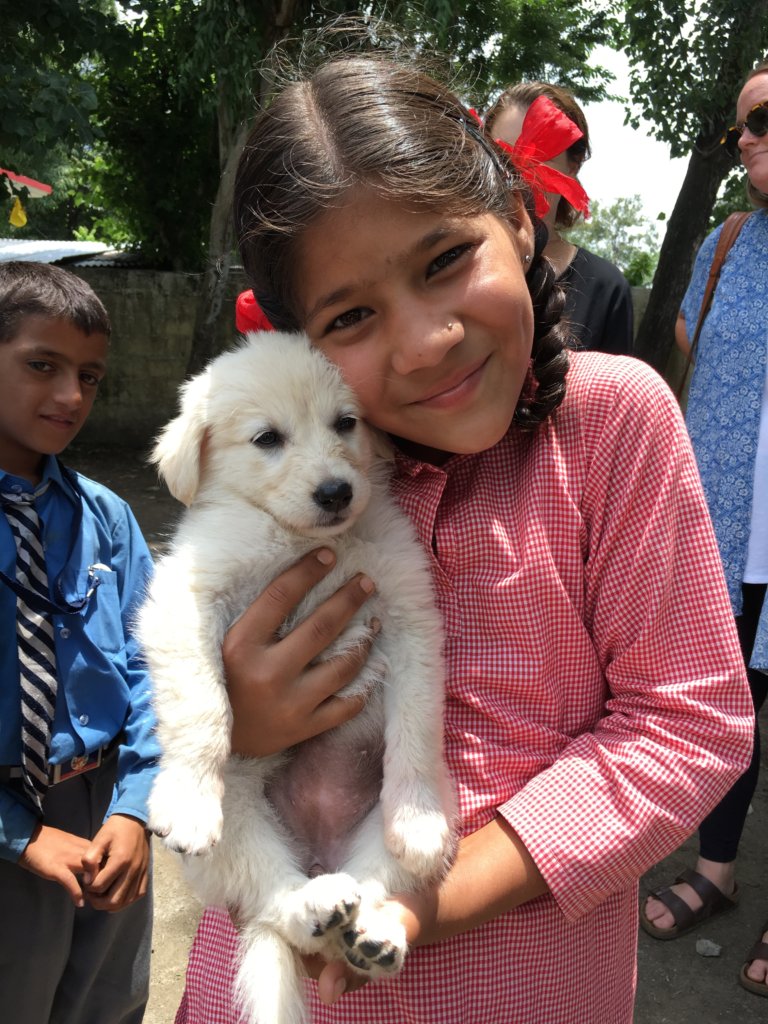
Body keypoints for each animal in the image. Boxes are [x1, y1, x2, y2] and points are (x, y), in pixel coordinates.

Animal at [137, 331, 454, 1019]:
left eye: (345, 423)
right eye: (266, 439)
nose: (336, 491)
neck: (299, 541)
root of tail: (318, 850)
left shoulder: (410, 616)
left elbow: (417, 726)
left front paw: (417, 818)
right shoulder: (186, 599)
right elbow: (204, 705)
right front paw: (188, 797)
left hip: (377, 829)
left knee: (373, 882)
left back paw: (374, 930)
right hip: (235, 833)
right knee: (273, 900)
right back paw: (313, 905)